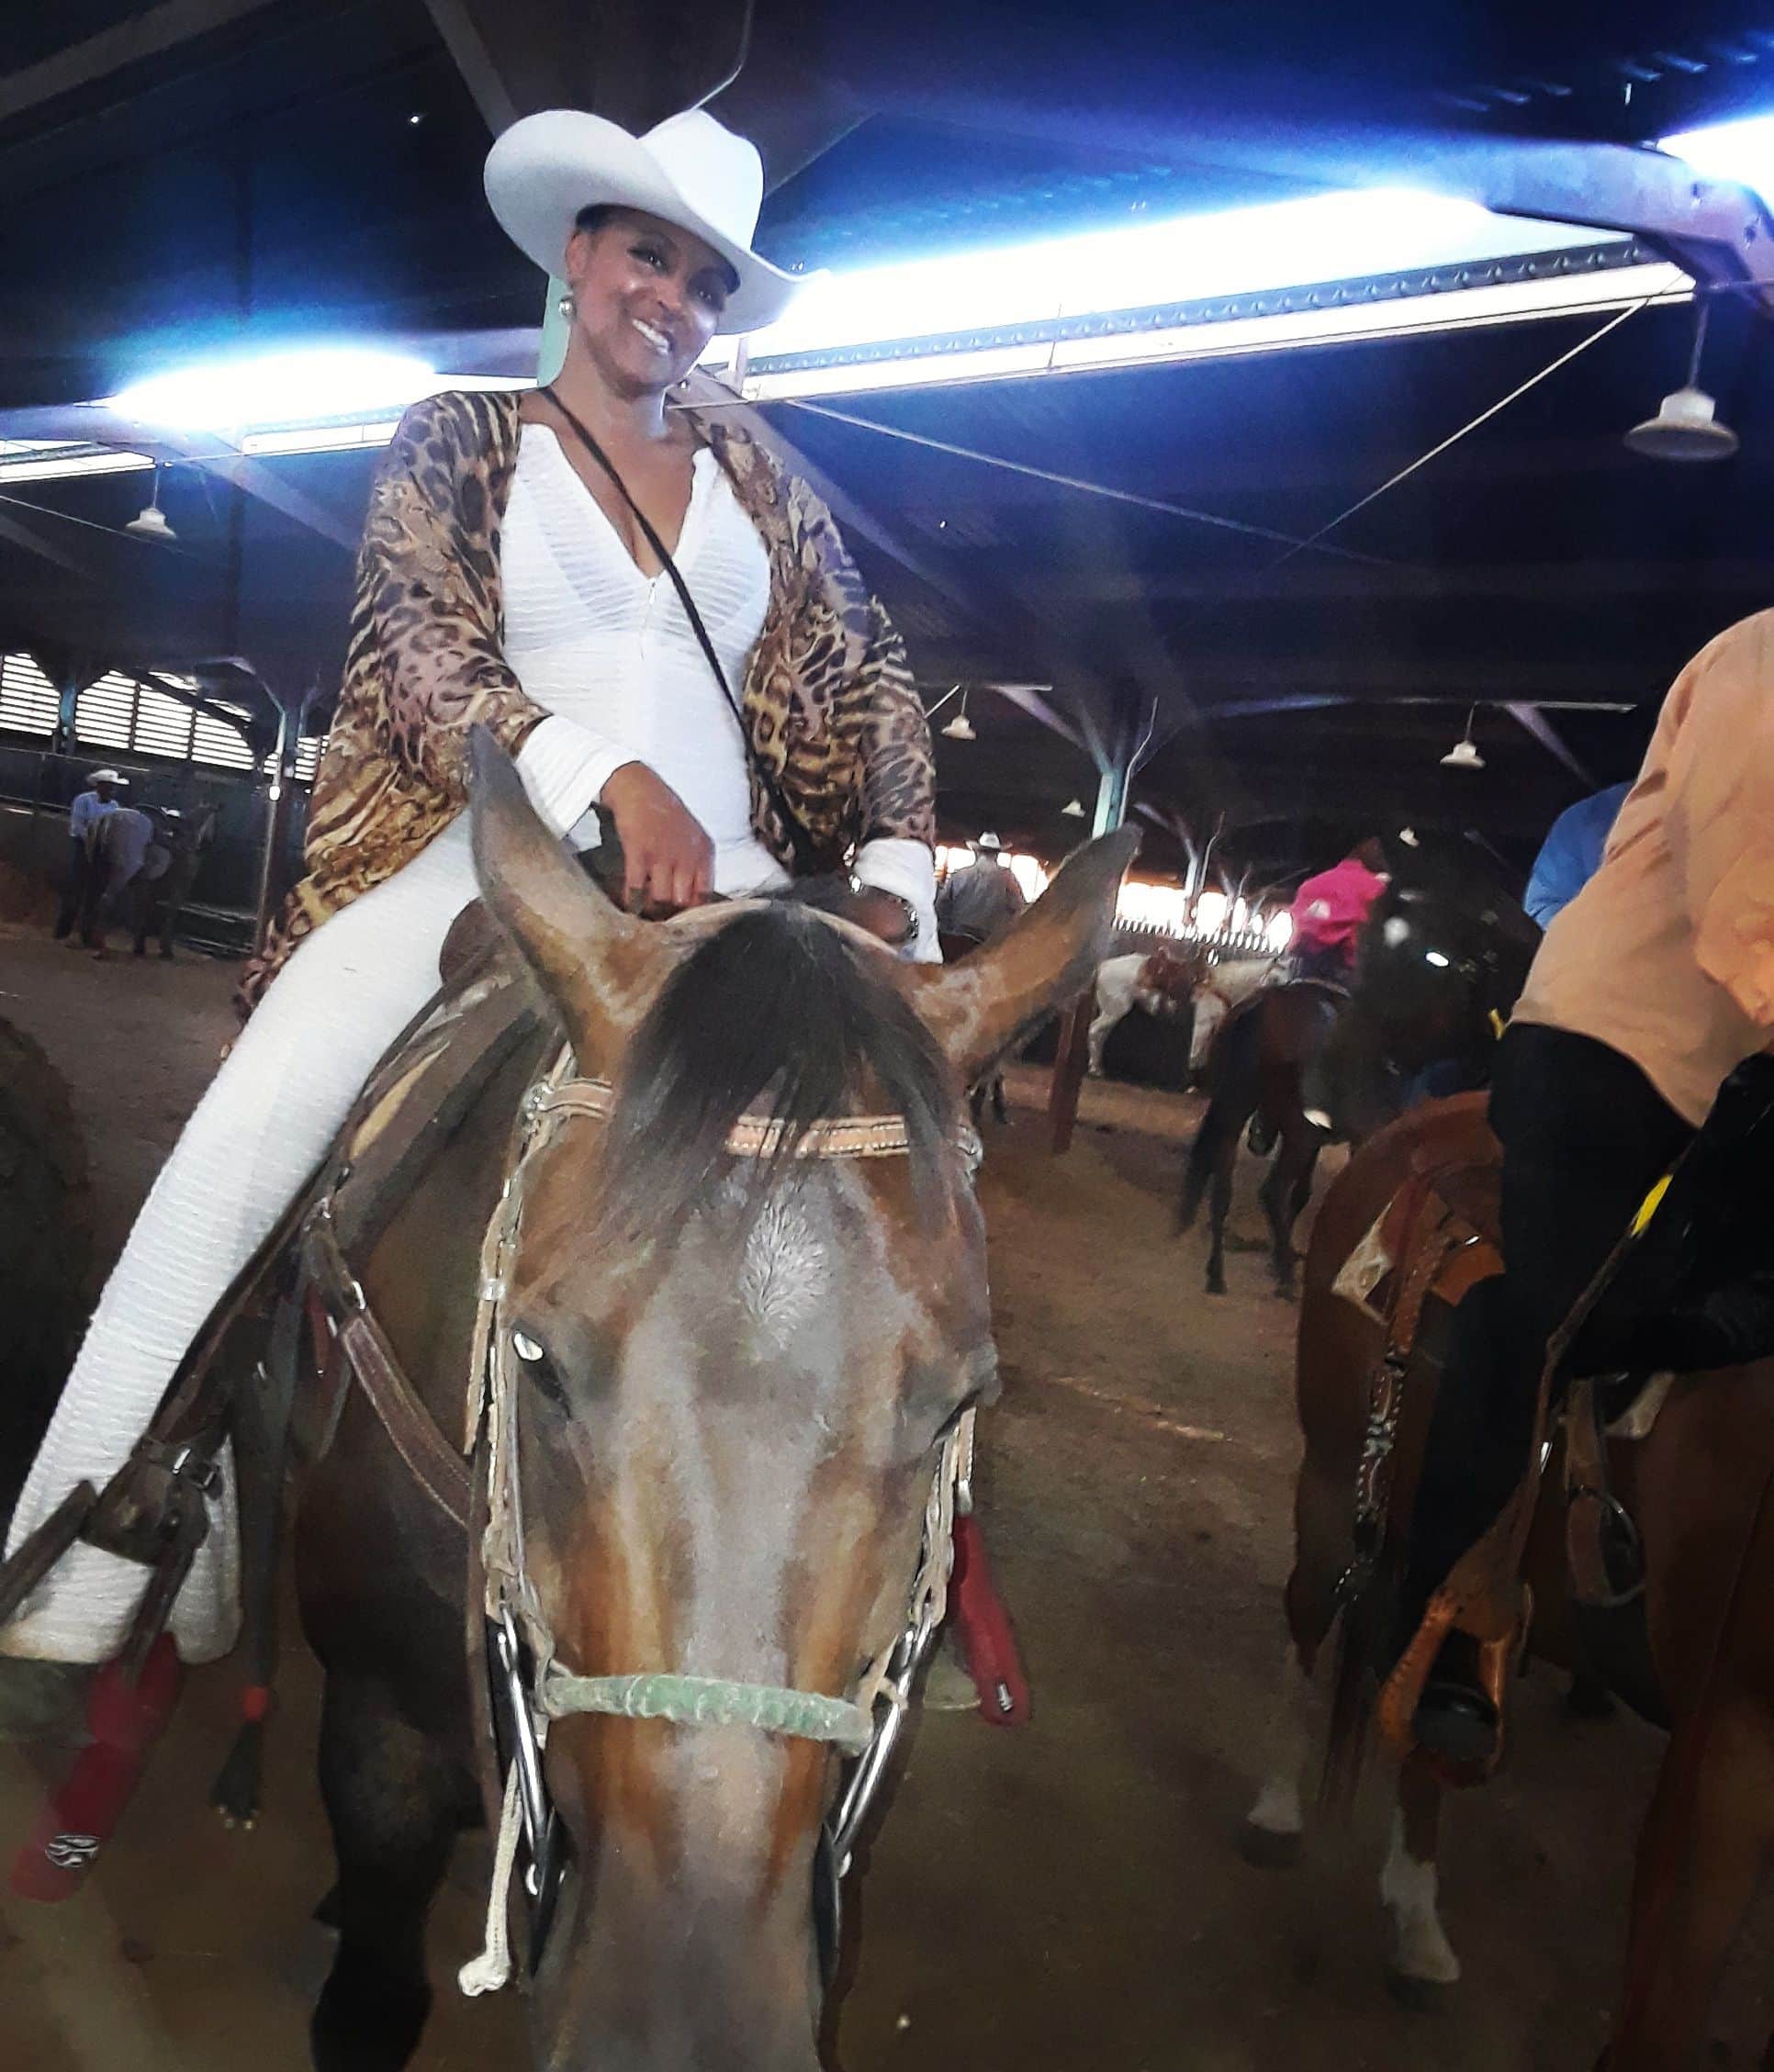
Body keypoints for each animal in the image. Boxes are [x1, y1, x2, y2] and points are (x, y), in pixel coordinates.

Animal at [1243, 1093, 1773, 2063]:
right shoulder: (1732, 1741)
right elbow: (1665, 2003)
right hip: (1334, 1481)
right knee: (1312, 1612)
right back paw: (1277, 1809)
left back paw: (1416, 1921)